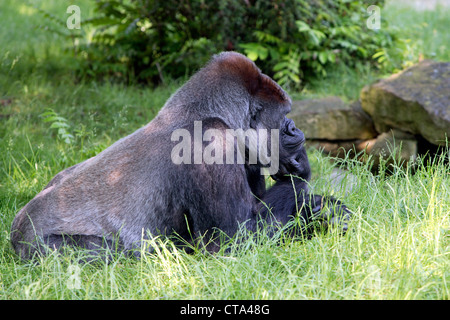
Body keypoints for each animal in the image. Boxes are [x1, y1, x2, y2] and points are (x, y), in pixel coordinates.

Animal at [8, 50, 350, 260]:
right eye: (285, 115)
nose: (294, 129)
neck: (207, 111)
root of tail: (16, 233)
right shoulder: (212, 143)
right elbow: (233, 241)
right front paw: (312, 204)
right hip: (41, 248)